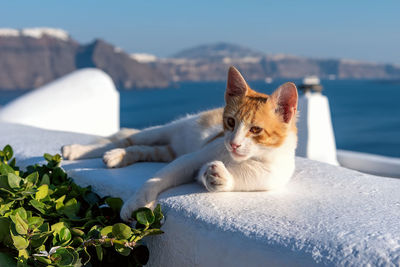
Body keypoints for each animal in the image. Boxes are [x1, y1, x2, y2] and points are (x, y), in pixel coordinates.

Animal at [61, 66, 296, 222]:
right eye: (230, 122)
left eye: (255, 130)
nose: (234, 144)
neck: (247, 158)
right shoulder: (193, 157)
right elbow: (156, 178)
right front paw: (136, 202)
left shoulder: (266, 179)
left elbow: (230, 180)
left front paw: (219, 177)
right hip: (166, 130)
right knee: (128, 138)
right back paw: (80, 150)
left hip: (167, 150)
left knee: (143, 149)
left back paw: (116, 156)